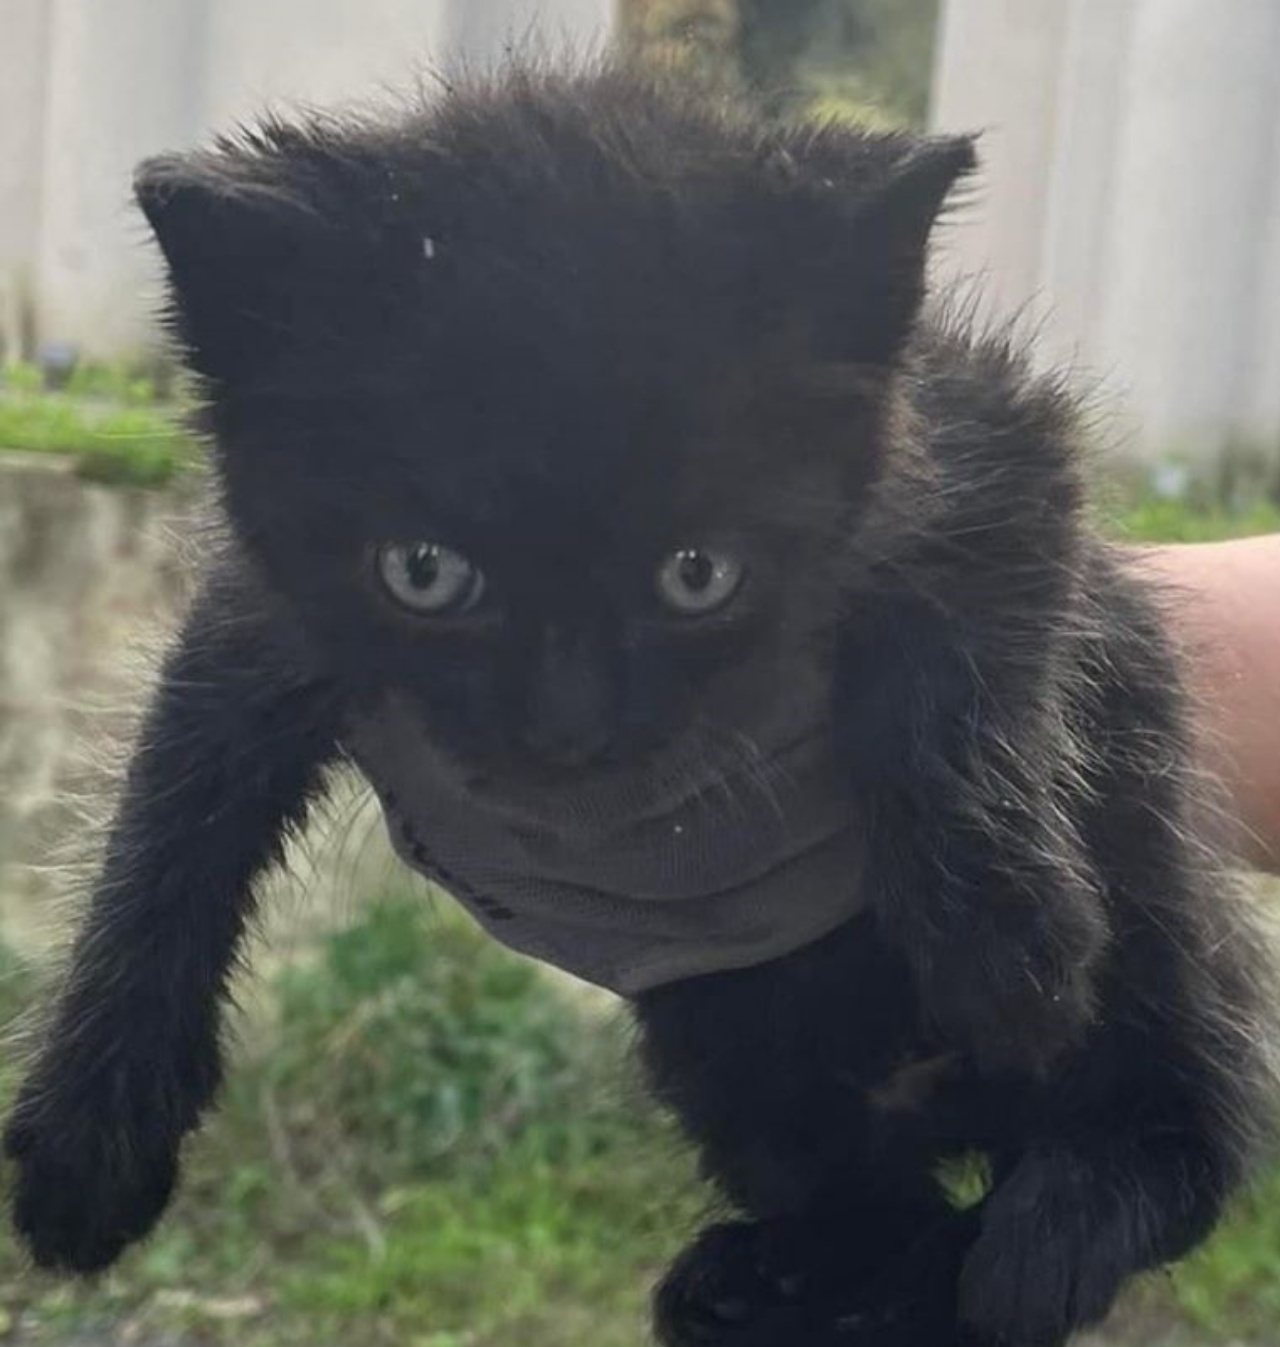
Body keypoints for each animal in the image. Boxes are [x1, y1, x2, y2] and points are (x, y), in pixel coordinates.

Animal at [5, 60, 1277, 1347]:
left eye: (697, 573)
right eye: (422, 572)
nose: (566, 730)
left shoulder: (993, 427)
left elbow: (970, 659)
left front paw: (1005, 946)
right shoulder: (261, 615)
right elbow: (166, 816)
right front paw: (86, 1135)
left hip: (1146, 840)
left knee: (1185, 1114)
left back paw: (1078, 1203)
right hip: (725, 1055)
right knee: (883, 1207)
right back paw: (779, 1281)